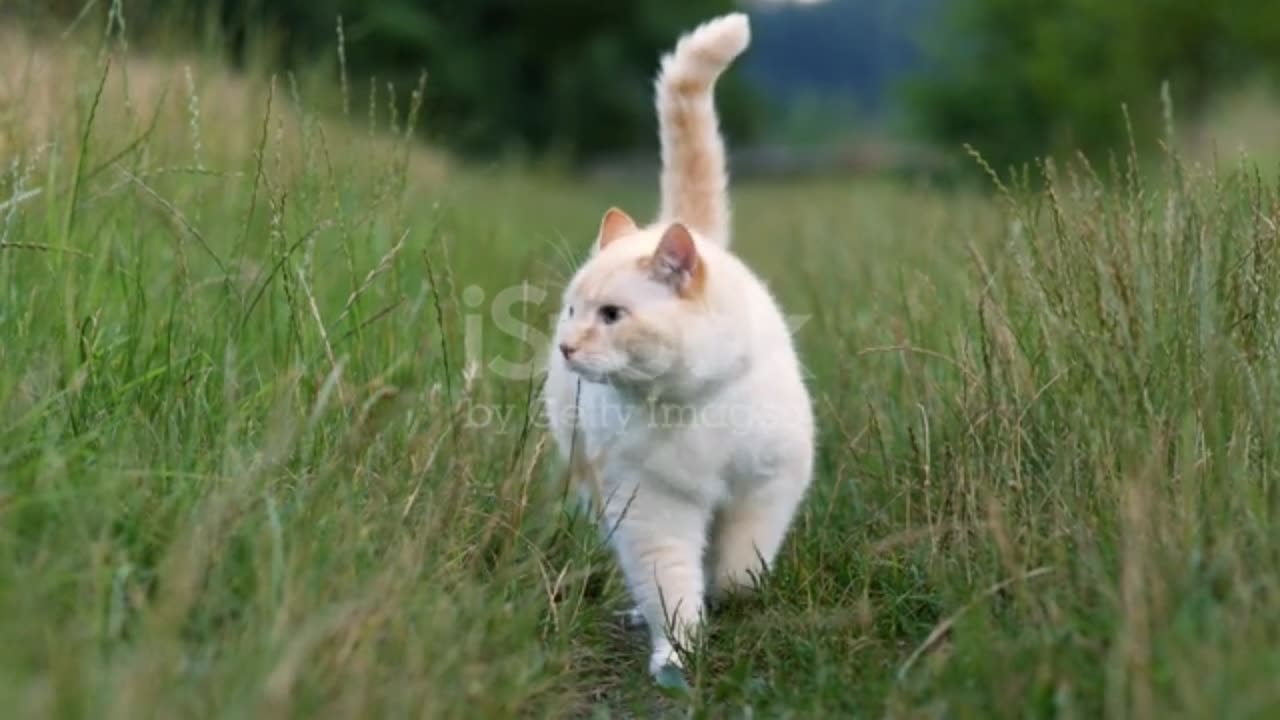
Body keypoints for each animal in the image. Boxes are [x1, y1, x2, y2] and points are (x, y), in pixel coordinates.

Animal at [545, 12, 814, 676]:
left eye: (612, 315)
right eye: (571, 311)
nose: (567, 346)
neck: (684, 407)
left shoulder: (769, 484)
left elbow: (743, 565)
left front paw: (730, 593)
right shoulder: (651, 508)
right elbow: (669, 584)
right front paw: (675, 653)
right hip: (596, 488)